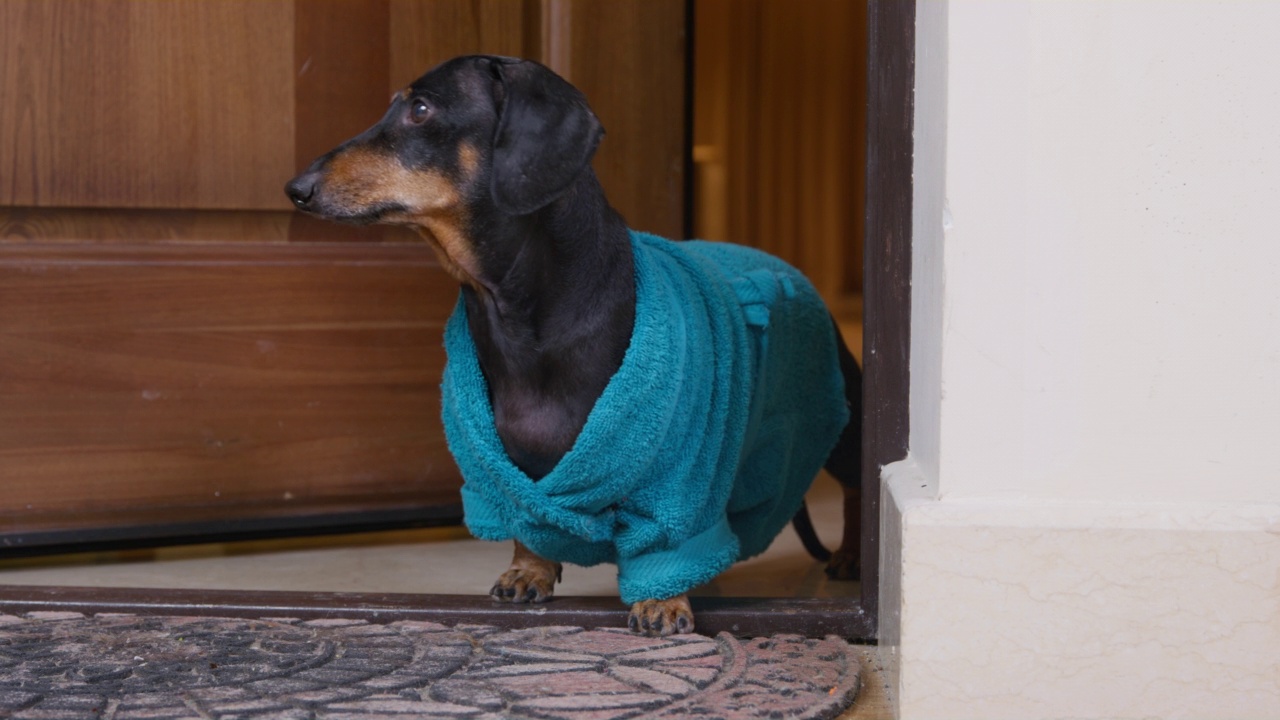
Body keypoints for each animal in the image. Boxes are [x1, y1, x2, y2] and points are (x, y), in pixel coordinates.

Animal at [282, 54, 860, 632]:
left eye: (421, 109)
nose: (295, 188)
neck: (522, 312)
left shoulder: (676, 480)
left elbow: (666, 542)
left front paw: (663, 600)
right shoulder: (508, 472)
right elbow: (529, 519)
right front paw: (528, 571)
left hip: (837, 416)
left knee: (855, 486)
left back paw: (851, 556)